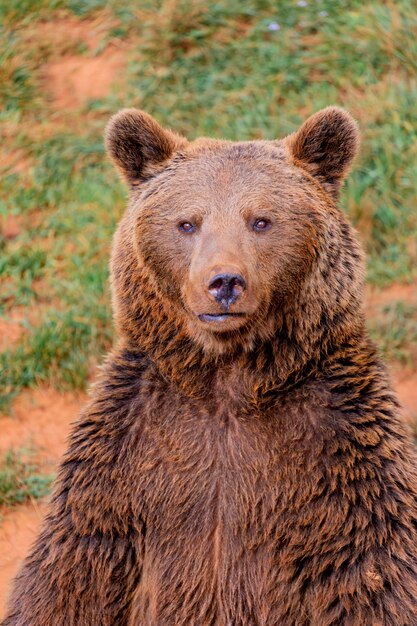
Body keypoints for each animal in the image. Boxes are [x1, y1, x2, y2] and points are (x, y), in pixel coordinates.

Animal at [2, 105, 416, 620]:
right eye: (187, 223)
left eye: (261, 220)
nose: (224, 282)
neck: (226, 380)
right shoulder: (125, 456)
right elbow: (71, 574)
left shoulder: (340, 453)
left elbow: (373, 572)